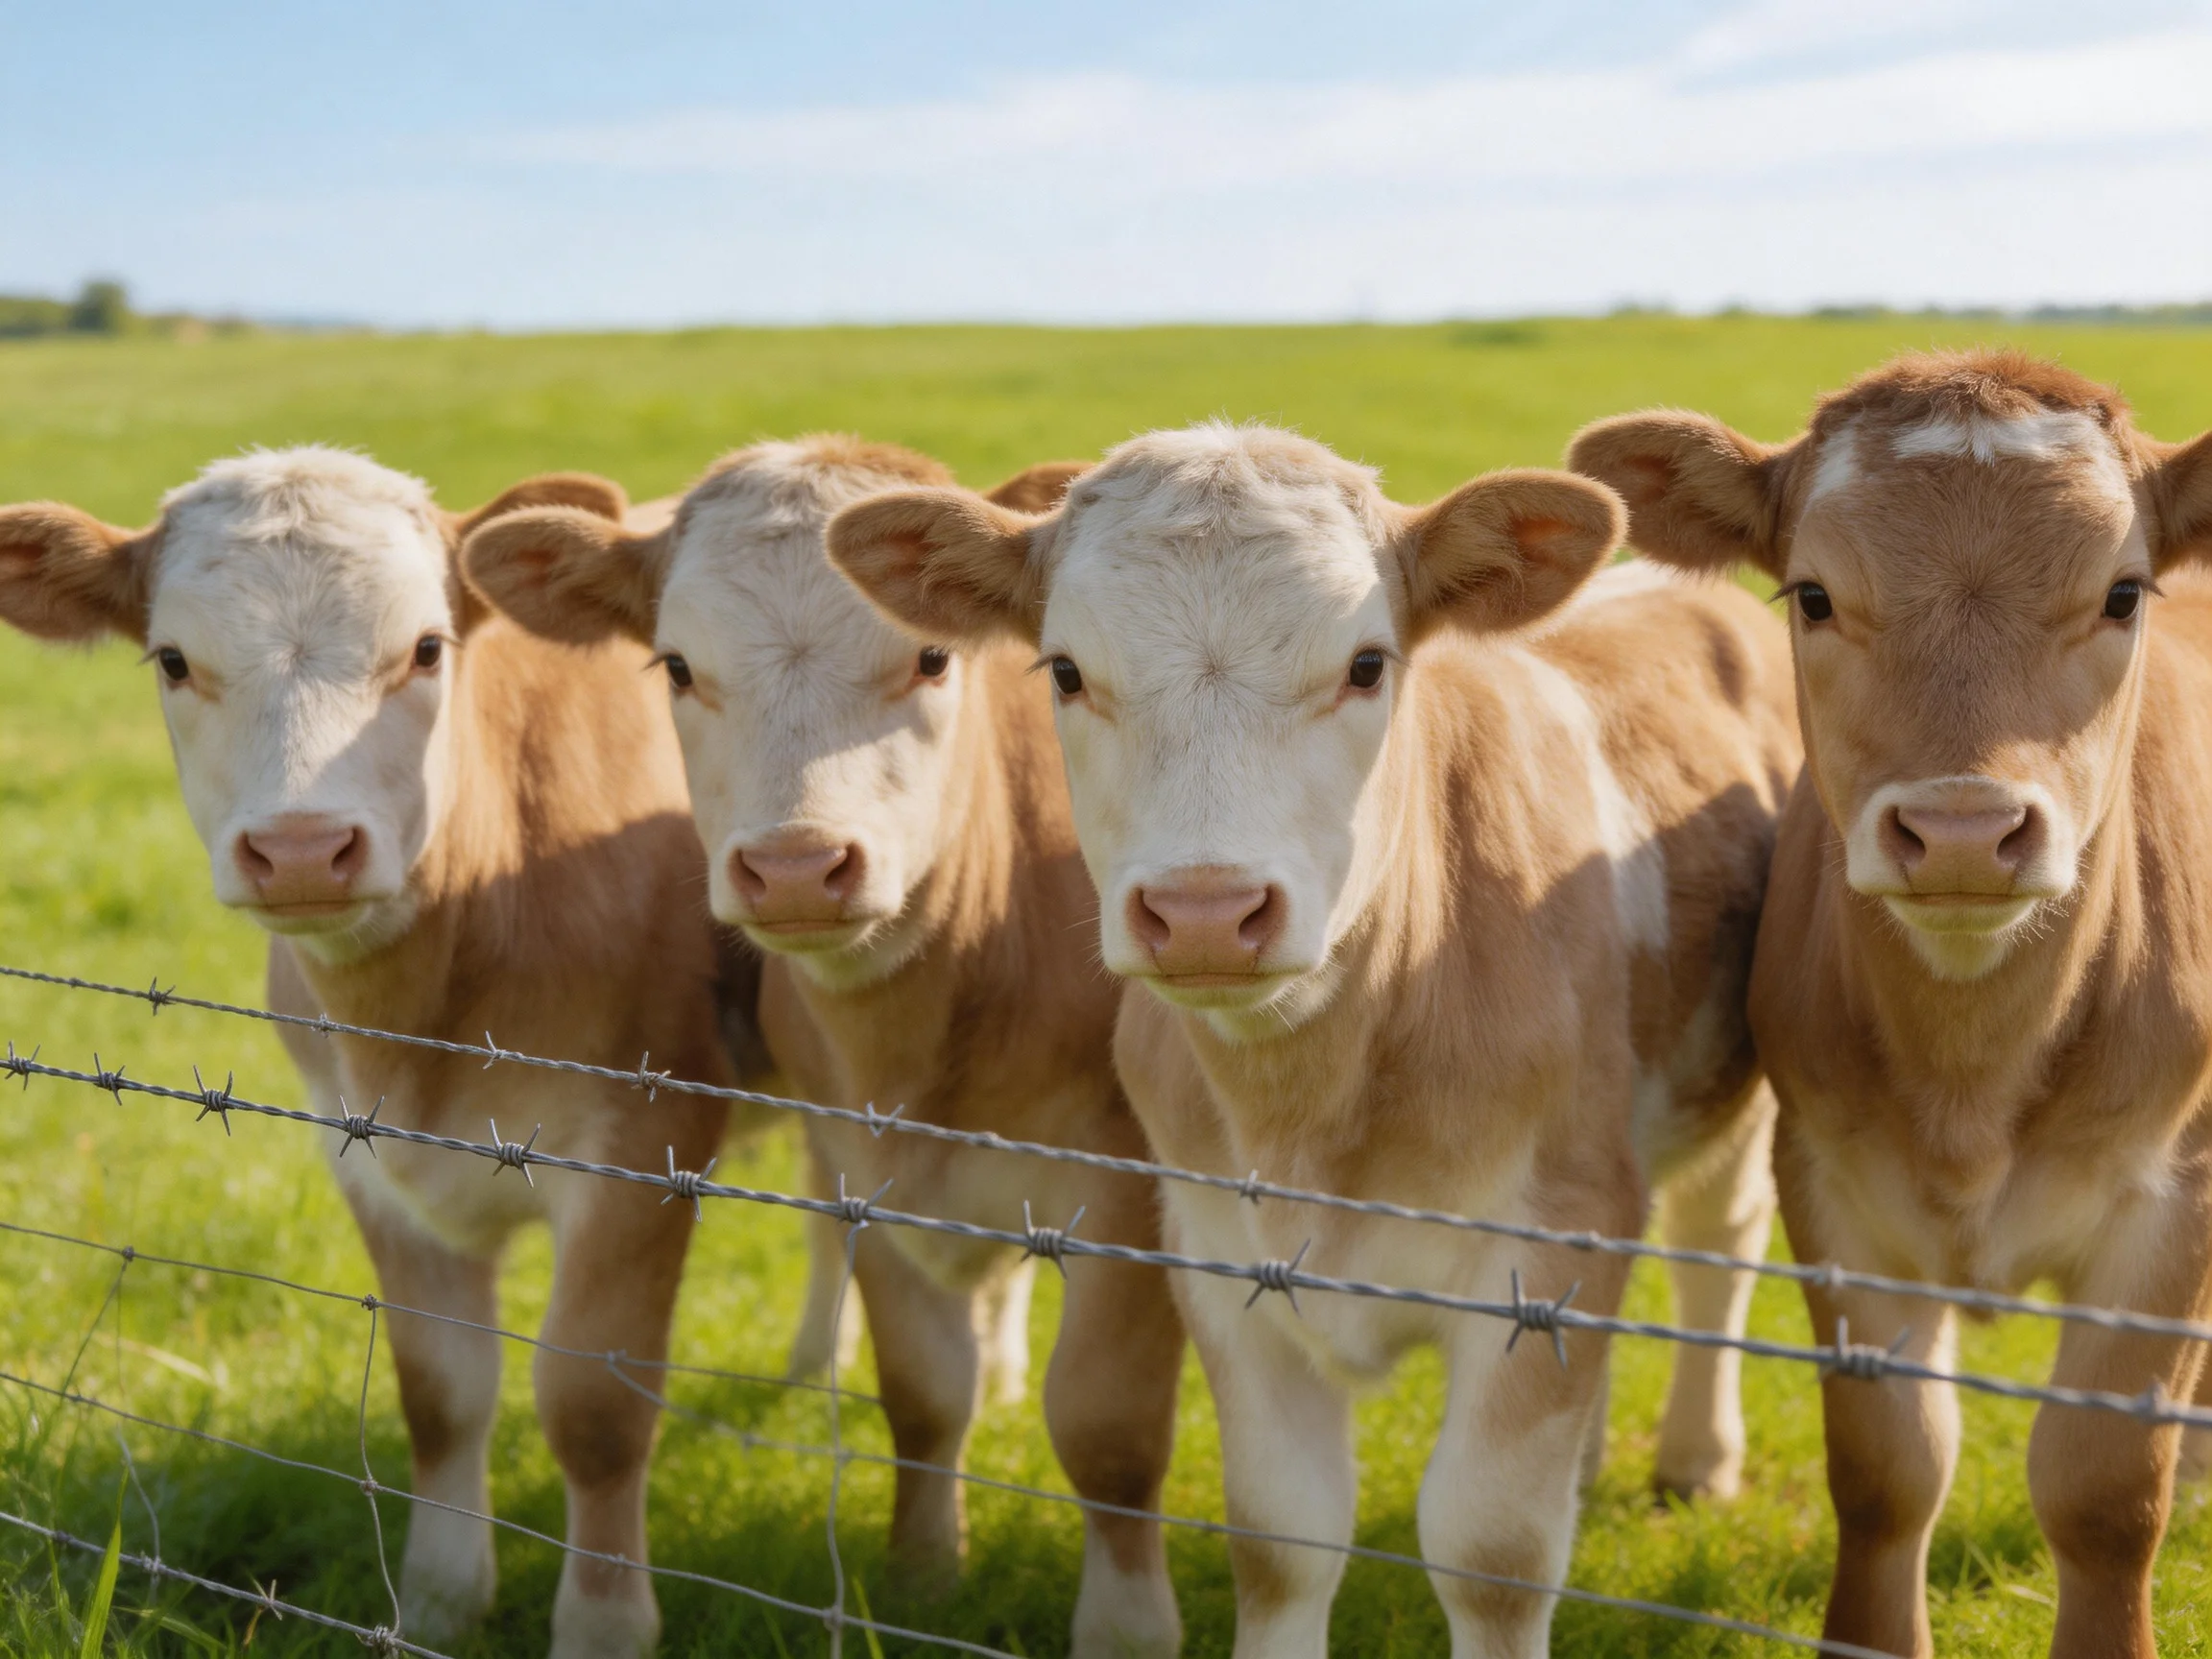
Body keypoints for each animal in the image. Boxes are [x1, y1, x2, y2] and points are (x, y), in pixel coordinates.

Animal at [0, 449, 795, 1658]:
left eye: (426, 647)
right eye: (173, 659)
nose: (298, 848)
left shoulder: (645, 1146)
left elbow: (596, 1409)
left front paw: (602, 1624)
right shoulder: (361, 1151)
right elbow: (440, 1389)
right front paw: (437, 1599)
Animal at [462, 436, 1188, 1658]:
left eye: (933, 656)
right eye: (675, 666)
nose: (798, 868)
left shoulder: (1134, 1179)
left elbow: (1109, 1424)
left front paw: (1128, 1626)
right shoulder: (866, 1162)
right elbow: (923, 1391)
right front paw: (926, 1575)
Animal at [825, 423, 1800, 1657]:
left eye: (1368, 664)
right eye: (1066, 671)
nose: (1205, 910)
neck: (1318, 1102)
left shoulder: (1560, 1225)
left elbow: (1493, 1551)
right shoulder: (1217, 1251)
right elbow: (1281, 1538)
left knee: (1721, 1241)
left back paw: (1695, 1458)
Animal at [1569, 350, 2212, 1659]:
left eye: (2124, 594)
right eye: (1813, 596)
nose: (1964, 829)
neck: (1973, 1072)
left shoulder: (2174, 1203)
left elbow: (2104, 1489)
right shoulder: (1838, 1192)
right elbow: (1886, 1469)